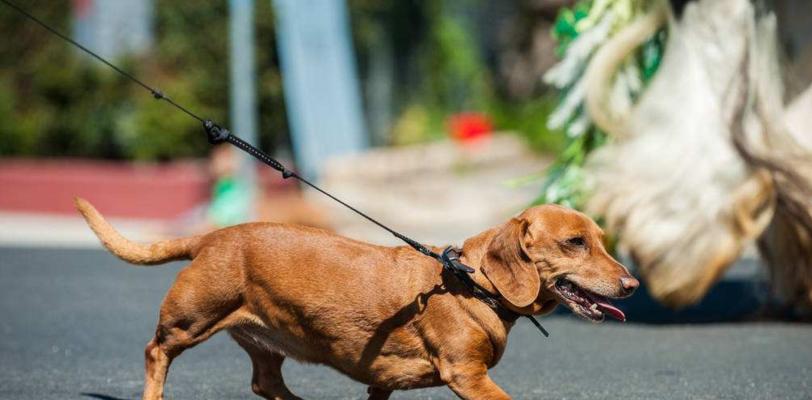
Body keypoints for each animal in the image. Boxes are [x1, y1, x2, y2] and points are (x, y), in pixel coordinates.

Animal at [74, 198, 636, 400]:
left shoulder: (383, 382)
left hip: (265, 339)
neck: (473, 283)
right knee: (156, 352)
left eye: (602, 240)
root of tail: (213, 237)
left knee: (266, 383)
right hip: (191, 318)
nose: (631, 287)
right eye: (575, 243)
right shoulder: (469, 376)